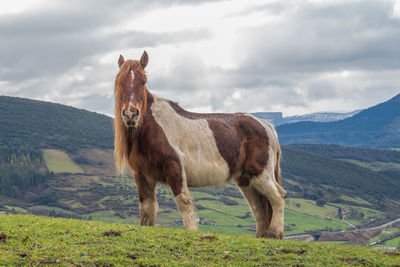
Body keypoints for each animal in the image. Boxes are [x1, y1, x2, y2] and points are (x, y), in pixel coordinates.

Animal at [114, 51, 286, 240]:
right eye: (120, 81)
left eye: (143, 81)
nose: (131, 114)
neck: (153, 127)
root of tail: (266, 125)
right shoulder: (143, 175)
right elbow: (147, 209)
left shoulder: (175, 168)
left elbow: (184, 202)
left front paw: (192, 231)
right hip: (246, 179)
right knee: (259, 208)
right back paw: (262, 236)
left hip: (261, 174)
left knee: (278, 197)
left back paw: (274, 233)